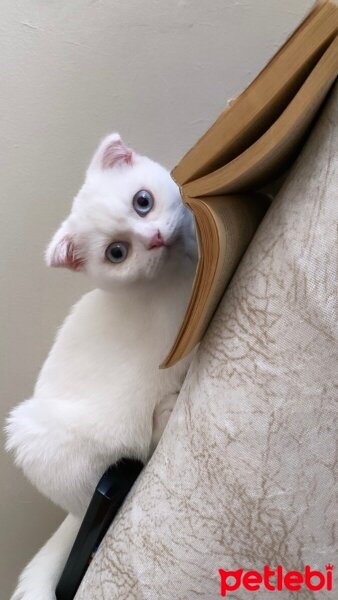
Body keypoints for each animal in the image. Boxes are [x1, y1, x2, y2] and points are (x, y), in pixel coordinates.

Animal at [5, 135, 197, 600]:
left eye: (142, 201)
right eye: (117, 253)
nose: (155, 238)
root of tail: (75, 515)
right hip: (38, 433)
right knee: (141, 451)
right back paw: (164, 413)